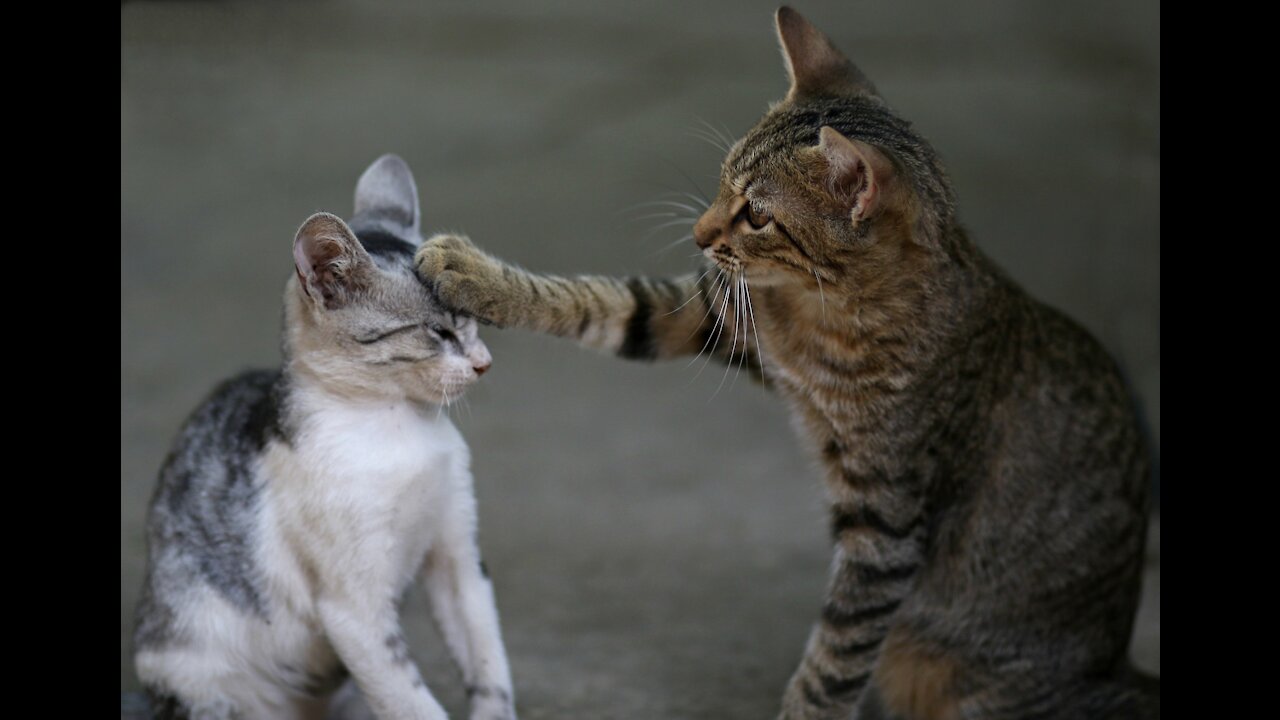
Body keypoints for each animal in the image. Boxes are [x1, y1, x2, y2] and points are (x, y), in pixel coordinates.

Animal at [133, 152, 514, 717]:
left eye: (472, 322)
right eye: (439, 332)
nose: (485, 363)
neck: (401, 428)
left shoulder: (461, 559)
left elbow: (489, 664)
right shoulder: (353, 608)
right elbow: (410, 698)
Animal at [412, 9, 1162, 717]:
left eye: (757, 215)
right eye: (722, 182)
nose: (699, 234)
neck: (821, 313)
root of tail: (1116, 663)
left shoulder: (887, 524)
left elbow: (835, 660)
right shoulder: (722, 317)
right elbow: (600, 301)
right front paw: (477, 276)